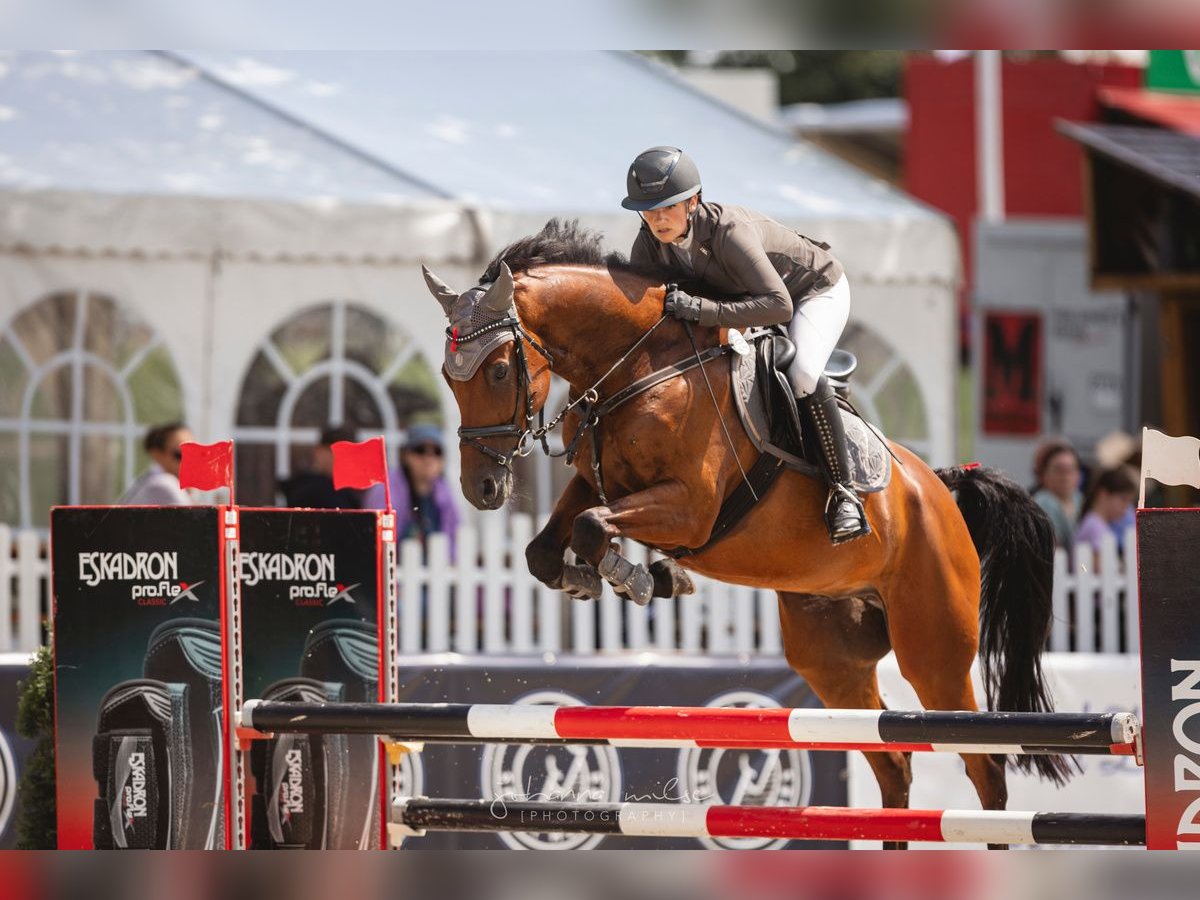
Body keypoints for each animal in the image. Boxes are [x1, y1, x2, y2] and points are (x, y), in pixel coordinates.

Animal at [422, 218, 1070, 844]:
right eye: (448, 379)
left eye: (499, 369)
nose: (482, 489)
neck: (640, 365)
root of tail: (939, 489)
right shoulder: (596, 480)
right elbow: (545, 548)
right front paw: (616, 577)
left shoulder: (689, 508)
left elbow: (589, 527)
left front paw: (637, 577)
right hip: (830, 657)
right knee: (893, 764)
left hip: (933, 652)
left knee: (984, 767)